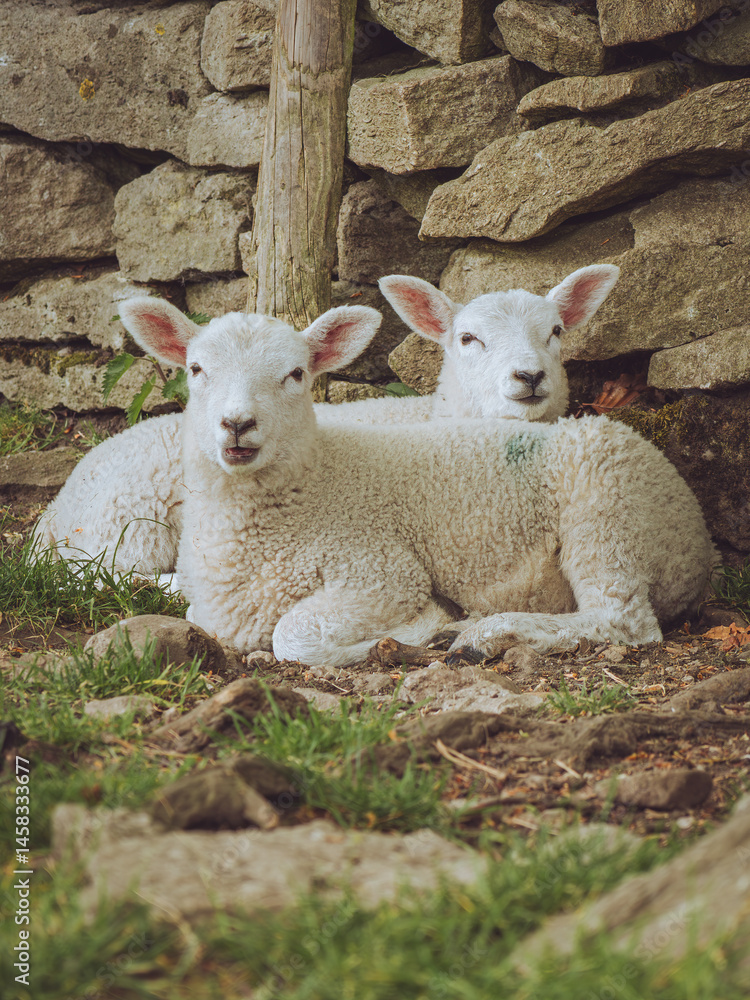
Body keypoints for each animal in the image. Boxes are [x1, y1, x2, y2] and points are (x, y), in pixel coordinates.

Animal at [35, 265, 618, 580]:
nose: (530, 376)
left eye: (557, 332)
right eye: (468, 339)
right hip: (129, 524)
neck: (437, 418)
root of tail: (52, 518)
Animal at [116, 293, 717, 668]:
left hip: (605, 511)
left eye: (295, 374)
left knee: (624, 621)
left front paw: (411, 633)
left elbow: (294, 637)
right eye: (196, 370)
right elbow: (187, 609)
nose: (237, 425)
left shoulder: (381, 573)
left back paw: (482, 634)